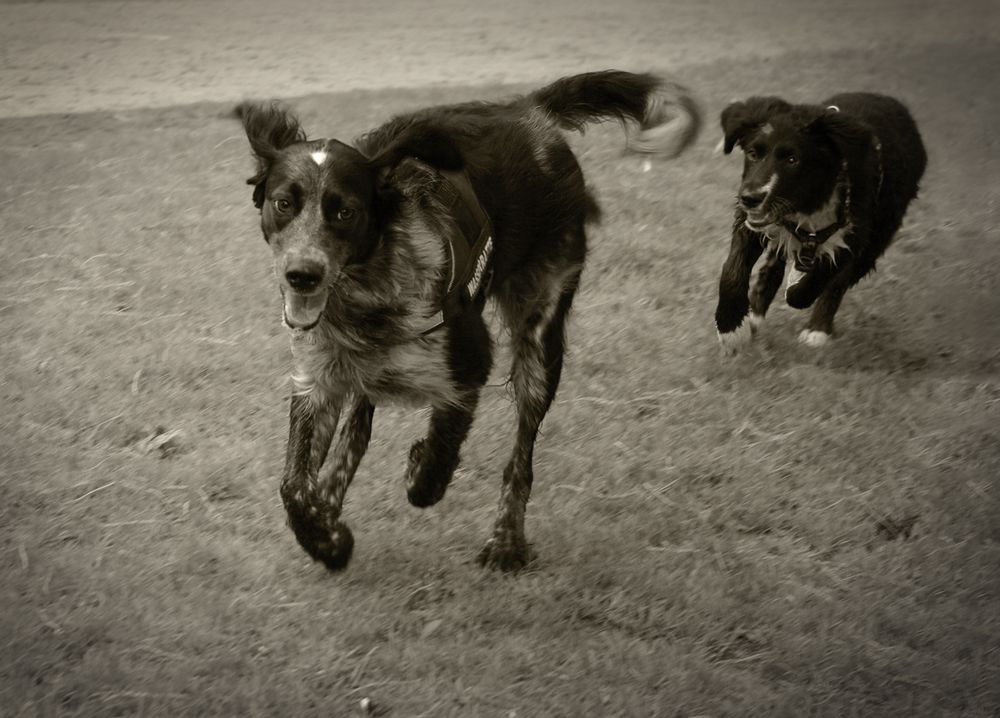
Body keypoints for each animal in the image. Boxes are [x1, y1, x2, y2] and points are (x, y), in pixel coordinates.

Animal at [237, 69, 700, 572]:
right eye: (283, 204)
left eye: (345, 211)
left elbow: (438, 459)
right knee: (358, 427)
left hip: (540, 343)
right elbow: (293, 485)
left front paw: (417, 469)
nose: (303, 275)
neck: (367, 291)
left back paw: (507, 542)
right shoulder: (318, 380)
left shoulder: (469, 366)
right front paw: (327, 538)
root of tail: (529, 110)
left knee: (521, 458)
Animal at [716, 94, 924, 352]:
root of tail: (894, 103)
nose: (750, 198)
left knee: (839, 283)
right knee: (771, 269)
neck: (808, 205)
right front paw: (731, 328)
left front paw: (798, 286)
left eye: (793, 160)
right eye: (753, 153)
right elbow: (732, 271)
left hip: (877, 237)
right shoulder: (751, 225)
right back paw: (754, 317)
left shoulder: (855, 237)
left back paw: (818, 328)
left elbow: (817, 282)